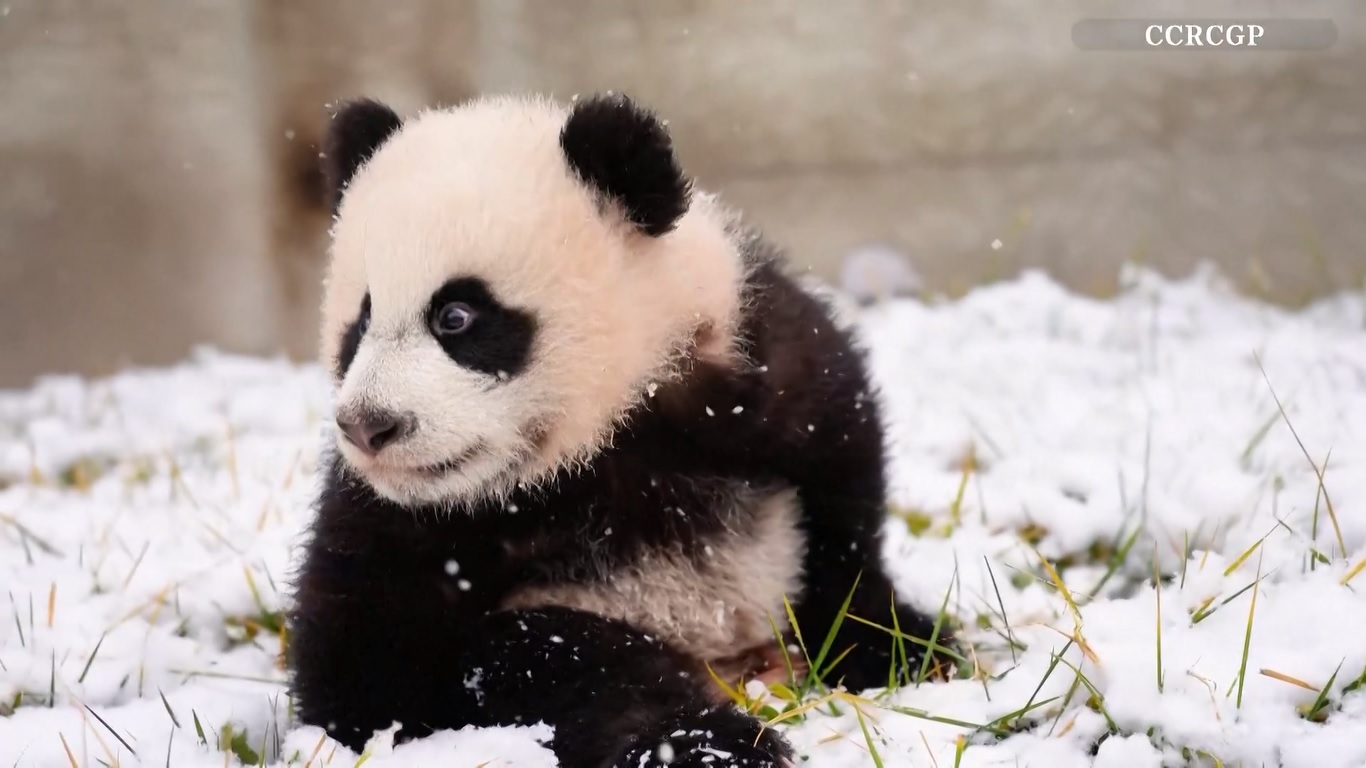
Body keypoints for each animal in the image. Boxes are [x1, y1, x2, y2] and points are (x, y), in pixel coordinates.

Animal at [286, 92, 955, 768]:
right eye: (361, 320)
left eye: (456, 316)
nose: (369, 427)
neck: (601, 436)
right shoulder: (414, 512)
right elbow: (364, 610)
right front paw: (361, 729)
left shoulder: (739, 359)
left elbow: (839, 463)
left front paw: (889, 640)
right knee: (564, 663)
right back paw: (704, 745)